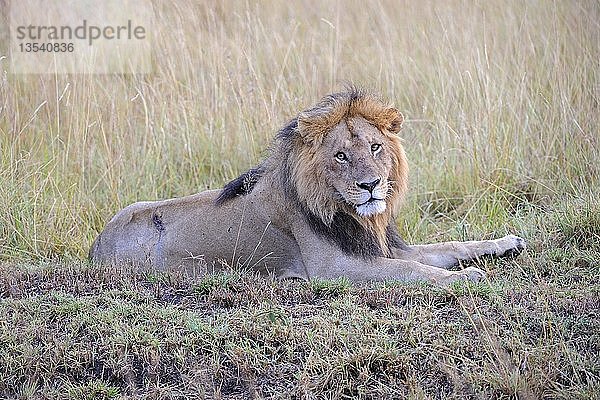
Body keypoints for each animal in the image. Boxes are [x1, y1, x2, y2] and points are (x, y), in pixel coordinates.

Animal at [89, 86, 524, 286]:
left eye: (375, 147)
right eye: (341, 156)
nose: (371, 185)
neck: (354, 215)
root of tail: (96, 247)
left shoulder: (383, 246)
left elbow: (450, 246)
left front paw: (506, 243)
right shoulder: (338, 267)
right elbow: (414, 269)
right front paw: (464, 279)